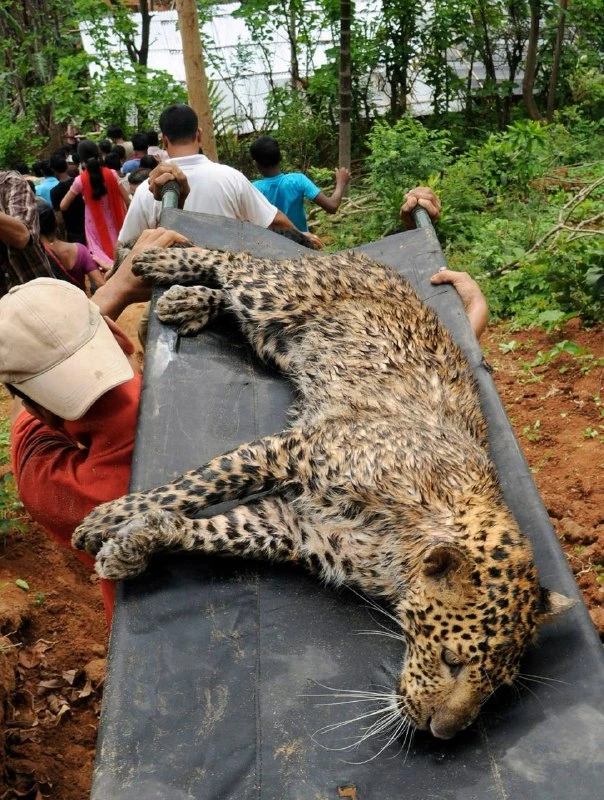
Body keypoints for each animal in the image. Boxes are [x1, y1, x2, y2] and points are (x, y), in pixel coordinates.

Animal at [73, 244, 574, 741]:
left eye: (496, 688)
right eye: (452, 659)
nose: (443, 733)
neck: (404, 549)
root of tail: (362, 258)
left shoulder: (291, 529)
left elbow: (210, 530)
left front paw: (134, 542)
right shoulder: (287, 452)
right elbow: (194, 485)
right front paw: (106, 521)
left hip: (272, 338)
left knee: (232, 298)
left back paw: (188, 302)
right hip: (274, 295)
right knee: (233, 260)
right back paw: (158, 260)